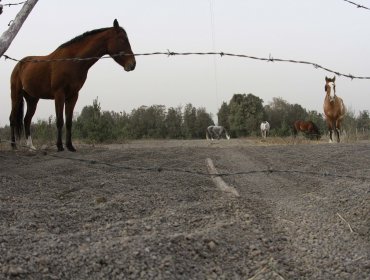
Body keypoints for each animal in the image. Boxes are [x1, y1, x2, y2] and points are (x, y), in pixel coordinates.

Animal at [9, 19, 135, 151]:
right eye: (122, 39)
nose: (133, 64)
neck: (72, 61)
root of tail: (19, 64)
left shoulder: (73, 96)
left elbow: (69, 122)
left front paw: (70, 146)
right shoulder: (59, 94)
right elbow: (60, 121)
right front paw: (60, 146)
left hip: (32, 99)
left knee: (27, 120)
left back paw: (31, 147)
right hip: (16, 95)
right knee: (12, 119)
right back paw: (13, 145)